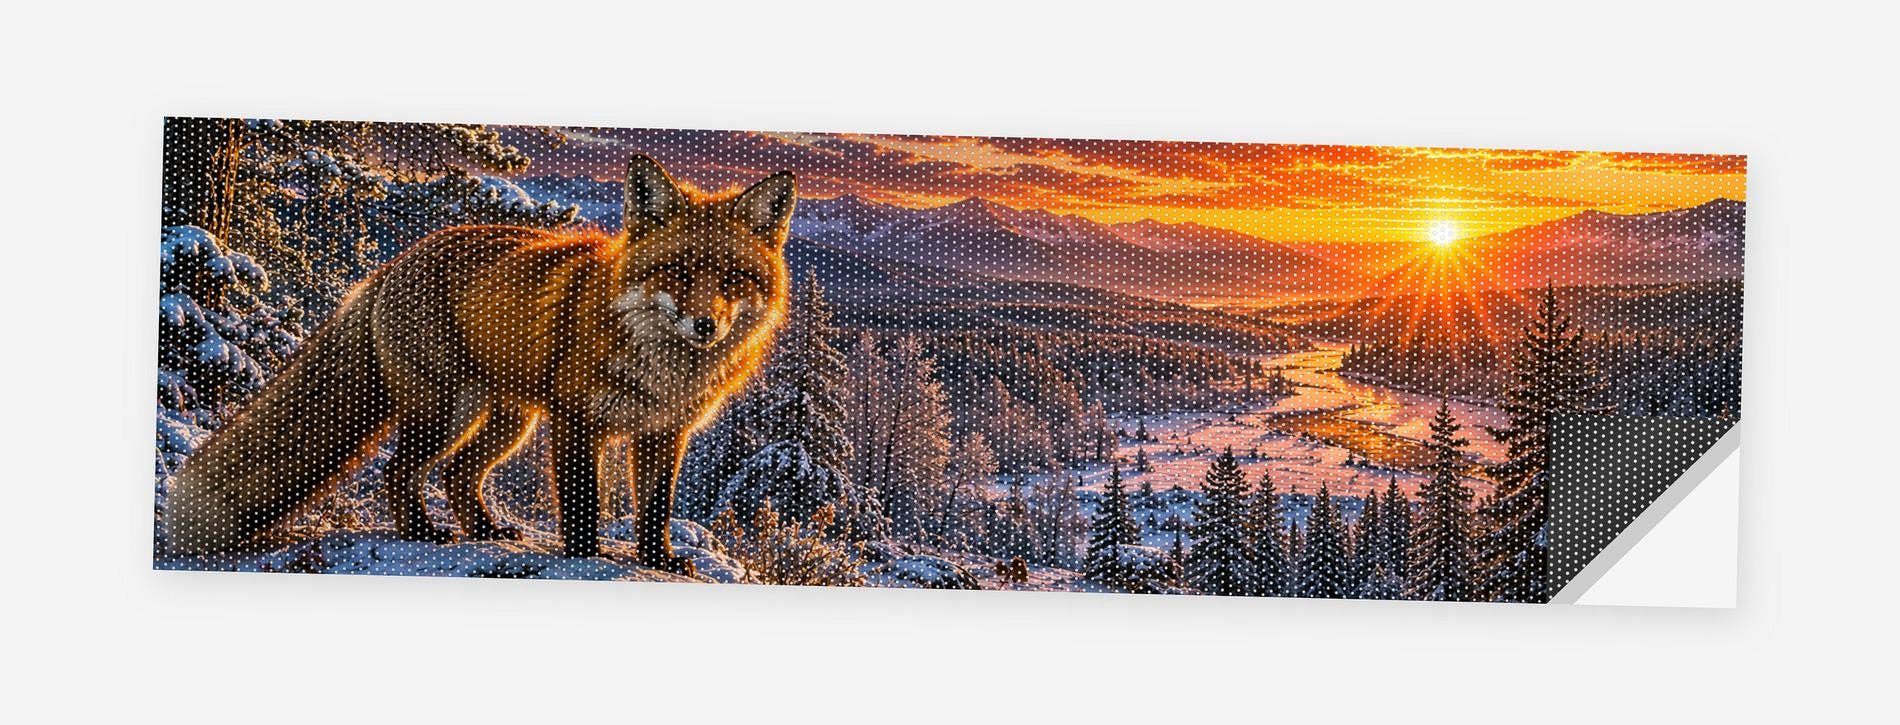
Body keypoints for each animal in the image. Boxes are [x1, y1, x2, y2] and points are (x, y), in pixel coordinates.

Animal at [164, 155, 795, 574]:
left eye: (733, 279)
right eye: (678, 273)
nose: (706, 326)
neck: (663, 366)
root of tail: (392, 264)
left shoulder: (666, 433)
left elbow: (656, 511)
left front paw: (660, 562)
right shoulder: (575, 423)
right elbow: (583, 511)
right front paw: (586, 560)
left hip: (507, 422)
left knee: (457, 474)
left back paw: (487, 530)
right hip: (448, 412)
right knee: (403, 472)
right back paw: (423, 533)